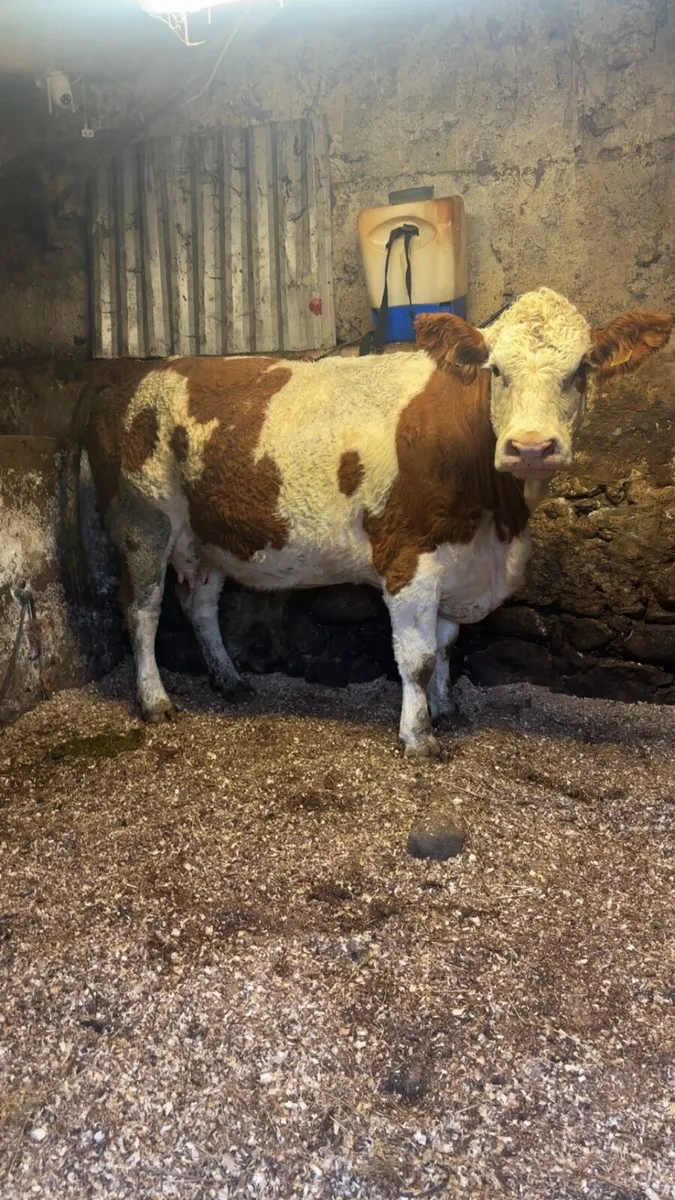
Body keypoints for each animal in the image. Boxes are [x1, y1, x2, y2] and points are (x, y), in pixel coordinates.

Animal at [72, 288, 672, 757]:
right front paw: (419, 736)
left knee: (199, 606)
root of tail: (135, 375)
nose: (530, 447)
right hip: (142, 521)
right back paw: (155, 701)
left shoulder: (458, 561)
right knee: (142, 610)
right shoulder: (409, 556)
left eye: (581, 371)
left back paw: (229, 680)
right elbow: (418, 657)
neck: (496, 527)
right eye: (496, 370)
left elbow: (447, 644)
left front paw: (446, 709)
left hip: (210, 535)